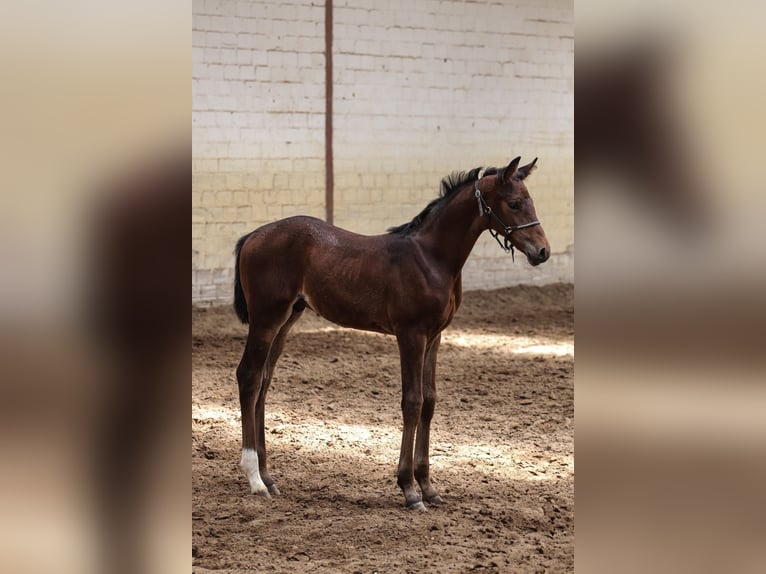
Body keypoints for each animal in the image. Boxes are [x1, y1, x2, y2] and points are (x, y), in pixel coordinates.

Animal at [233, 156, 551, 511]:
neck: (432, 257)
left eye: (530, 201)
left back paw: (268, 477)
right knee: (249, 377)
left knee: (263, 382)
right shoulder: (410, 334)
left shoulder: (435, 336)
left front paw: (428, 487)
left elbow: (429, 401)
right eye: (514, 203)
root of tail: (252, 236)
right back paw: (254, 478)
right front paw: (409, 490)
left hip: (288, 318)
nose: (542, 251)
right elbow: (412, 401)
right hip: (266, 318)